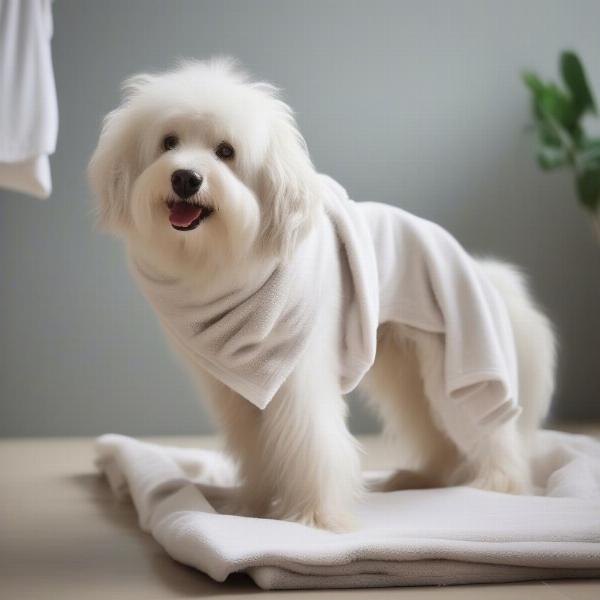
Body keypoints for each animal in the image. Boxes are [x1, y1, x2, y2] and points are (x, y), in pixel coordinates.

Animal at [90, 58, 556, 532]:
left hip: (460, 366)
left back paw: (497, 484)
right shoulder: (237, 392)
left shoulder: (295, 376)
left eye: (225, 151)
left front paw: (312, 516)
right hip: (406, 371)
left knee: (490, 432)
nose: (186, 177)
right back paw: (423, 478)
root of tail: (481, 271)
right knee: (434, 433)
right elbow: (257, 450)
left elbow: (309, 442)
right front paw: (252, 508)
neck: (227, 266)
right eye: (169, 142)